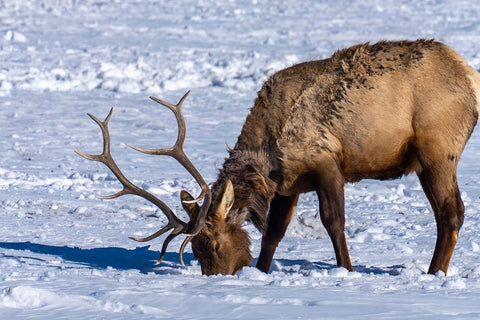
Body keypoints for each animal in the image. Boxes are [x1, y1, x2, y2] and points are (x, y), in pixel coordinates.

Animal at [77, 39, 480, 276]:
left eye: (214, 244)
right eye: (196, 251)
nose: (218, 277)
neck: (267, 159)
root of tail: (470, 75)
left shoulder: (326, 163)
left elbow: (333, 221)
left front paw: (346, 271)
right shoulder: (289, 183)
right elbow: (273, 232)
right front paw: (261, 270)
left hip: (436, 150)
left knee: (451, 212)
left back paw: (434, 273)